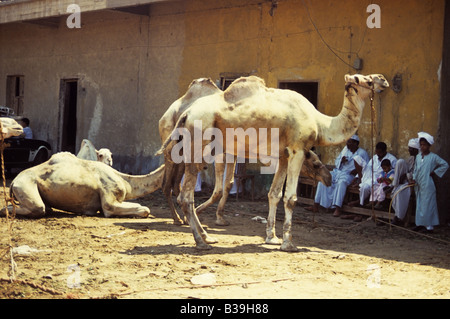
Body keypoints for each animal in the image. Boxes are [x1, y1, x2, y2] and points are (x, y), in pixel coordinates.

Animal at [1, 153, 163, 219]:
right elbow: (145, 209)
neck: (126, 181)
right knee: (38, 207)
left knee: (45, 208)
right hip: (24, 185)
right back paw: (6, 210)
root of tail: (14, 181)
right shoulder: (109, 200)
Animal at [160, 74, 388, 251]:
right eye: (366, 79)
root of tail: (186, 114)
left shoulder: (284, 155)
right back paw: (200, 241)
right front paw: (288, 244)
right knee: (185, 195)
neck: (320, 123)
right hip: (197, 146)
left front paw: (272, 237)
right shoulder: (297, 150)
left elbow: (274, 194)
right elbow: (291, 198)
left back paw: (207, 236)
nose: (383, 80)